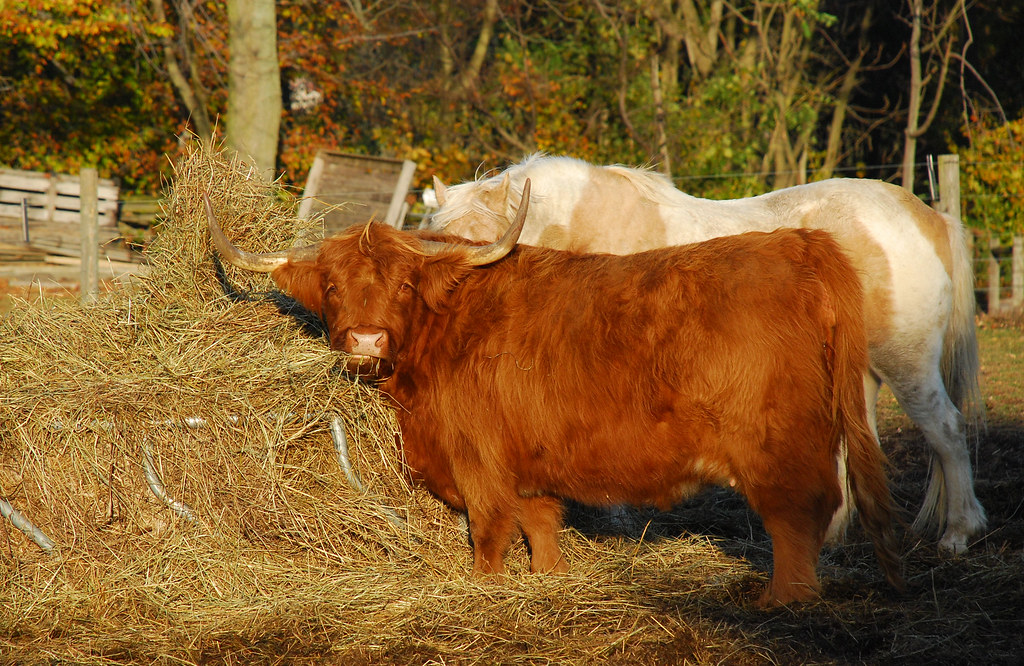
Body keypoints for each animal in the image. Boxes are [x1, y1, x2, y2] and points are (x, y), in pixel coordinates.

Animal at [203, 184, 904, 607]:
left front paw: (484, 589)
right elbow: (539, 522)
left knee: (798, 516)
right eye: (331, 283)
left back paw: (783, 600)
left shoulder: (477, 457)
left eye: (403, 285)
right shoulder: (527, 463)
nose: (367, 340)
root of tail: (801, 244)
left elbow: (490, 529)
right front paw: (548, 581)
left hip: (776, 445)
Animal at [428, 154, 985, 554]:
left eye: (483, 253)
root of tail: (926, 215)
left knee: (947, 431)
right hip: (855, 369)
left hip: (905, 360)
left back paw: (958, 534)